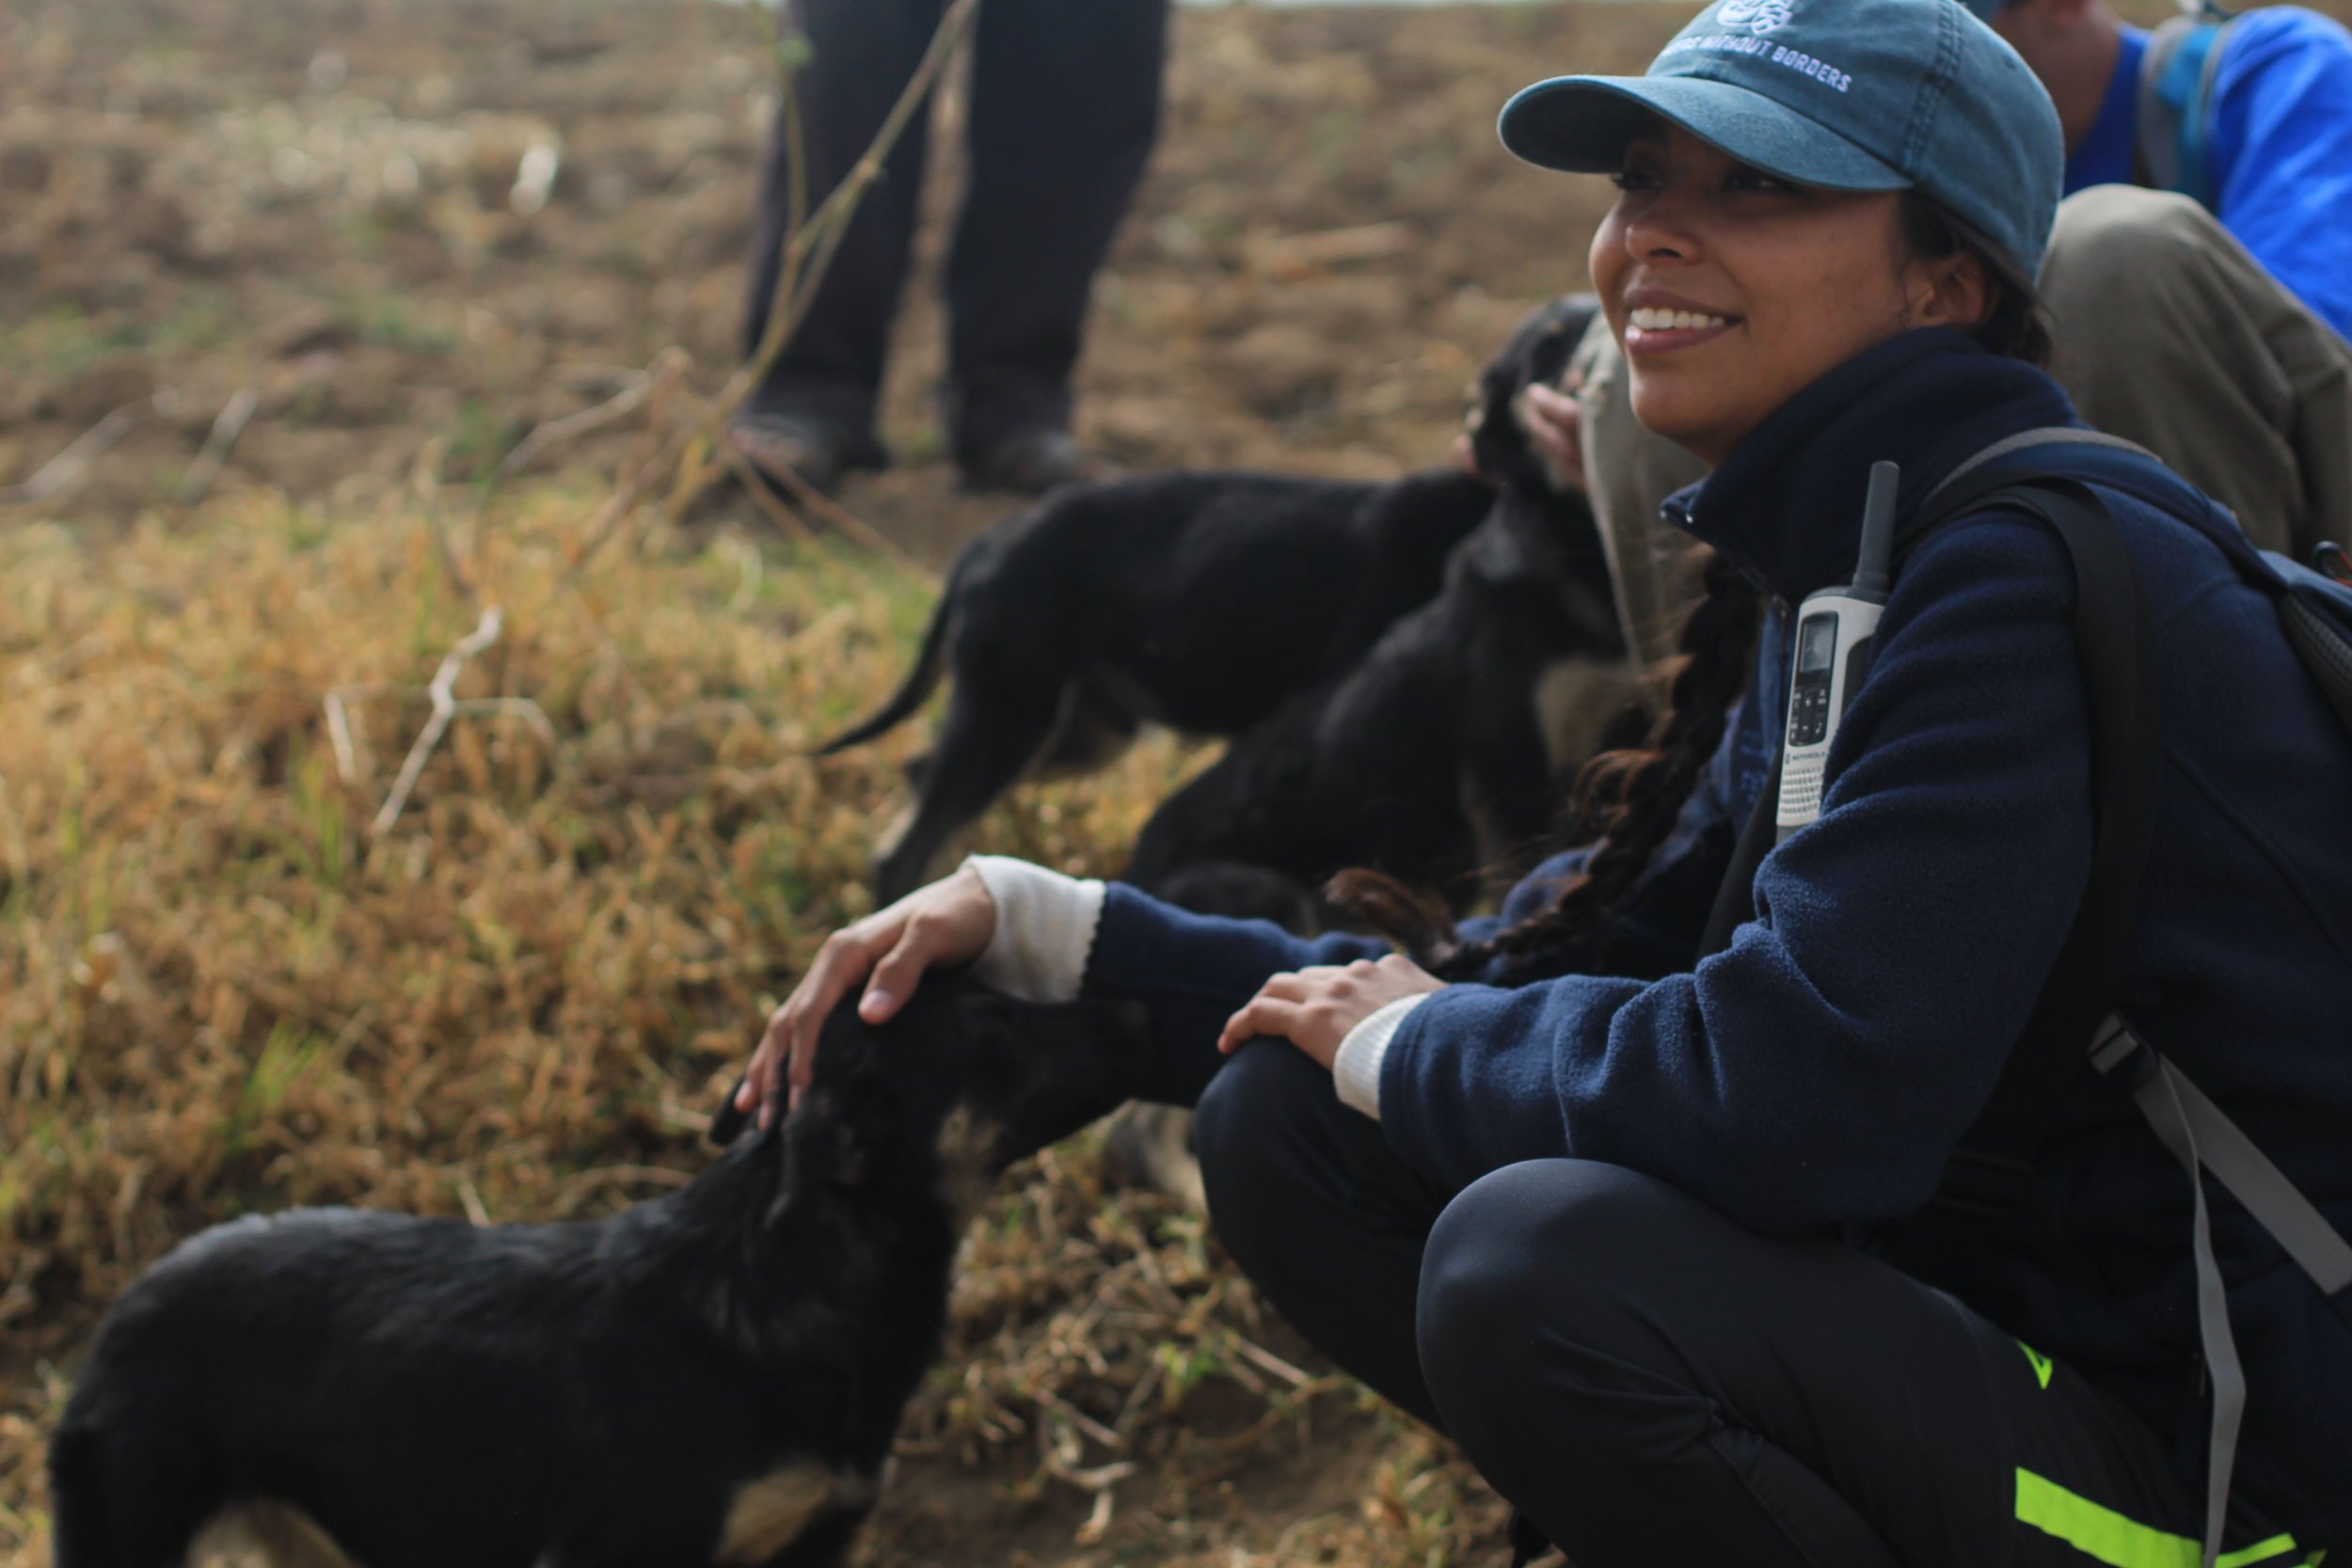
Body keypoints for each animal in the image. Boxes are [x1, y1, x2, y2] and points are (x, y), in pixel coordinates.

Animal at [45, 987, 1148, 1568]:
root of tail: (117, 1317)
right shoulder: (623, 1548)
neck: (776, 1281)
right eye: (992, 1017)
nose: (1129, 985)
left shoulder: (814, 1539)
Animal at [814, 297, 1599, 907]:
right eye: (1547, 344)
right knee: (907, 841)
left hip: (1077, 730)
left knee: (921, 781)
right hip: (1011, 714)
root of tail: (986, 541)